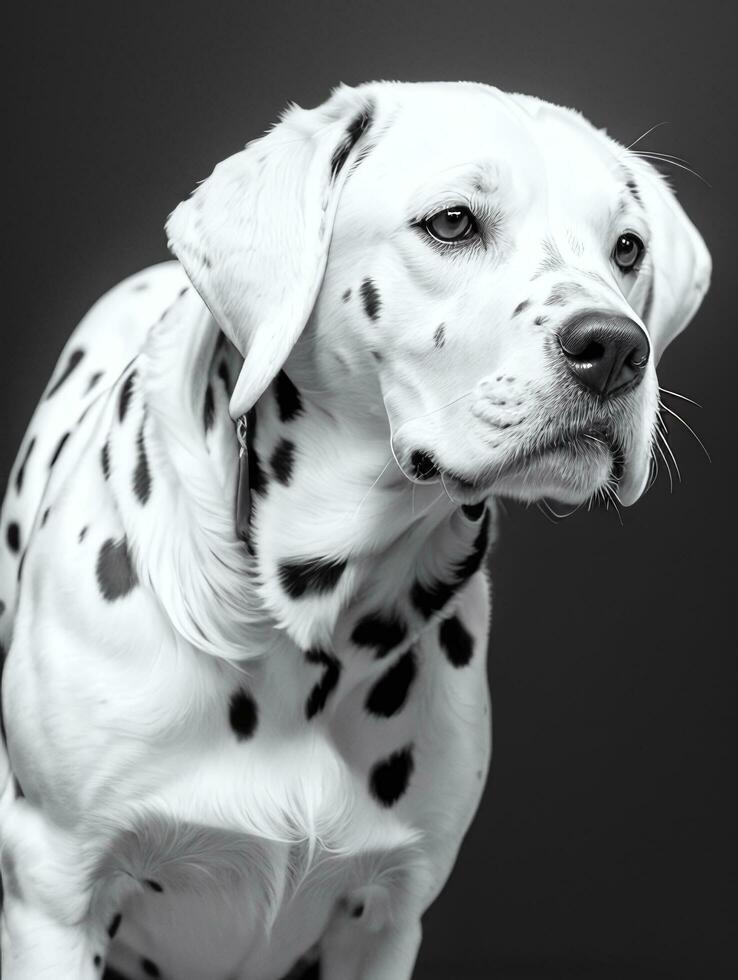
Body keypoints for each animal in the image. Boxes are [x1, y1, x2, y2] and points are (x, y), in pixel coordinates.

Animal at [0, 84, 708, 980]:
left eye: (627, 247)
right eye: (452, 222)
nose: (615, 348)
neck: (308, 625)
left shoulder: (385, 919)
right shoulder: (53, 894)